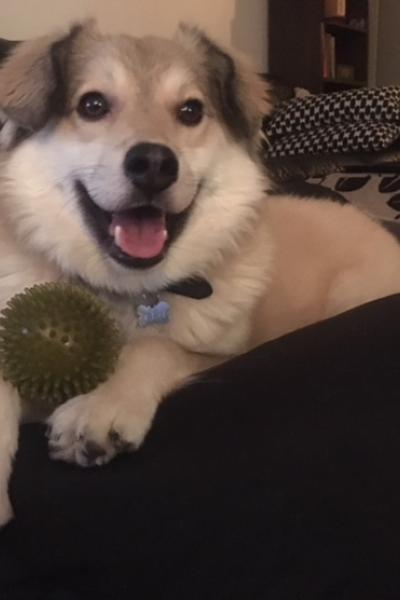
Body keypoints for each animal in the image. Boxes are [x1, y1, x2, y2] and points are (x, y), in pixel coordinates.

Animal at [1, 21, 400, 525]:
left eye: (190, 111)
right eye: (92, 105)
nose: (154, 163)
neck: (127, 290)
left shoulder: (219, 355)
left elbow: (156, 346)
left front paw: (102, 403)